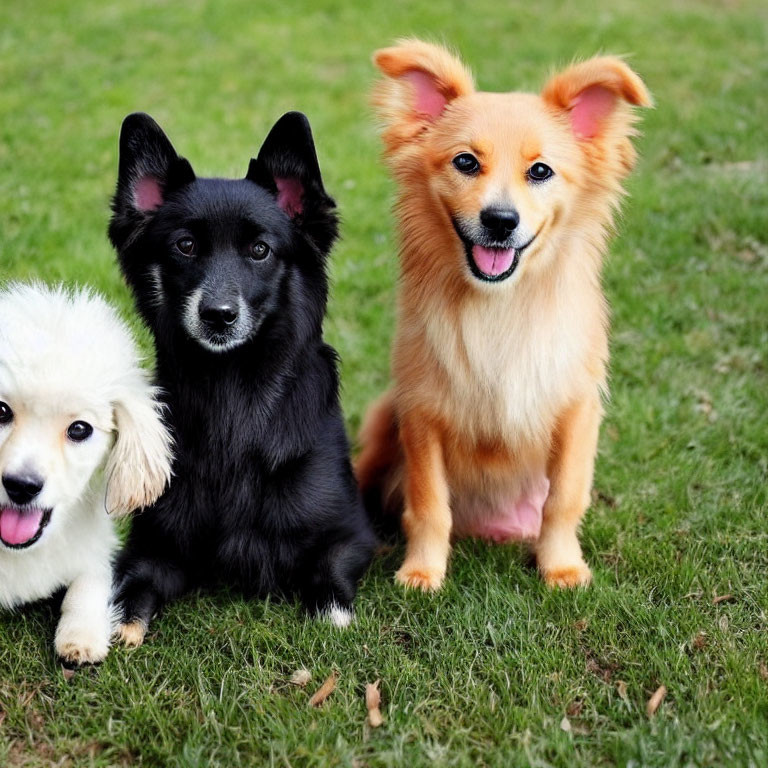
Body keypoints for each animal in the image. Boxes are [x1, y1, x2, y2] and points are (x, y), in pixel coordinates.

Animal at [0, 284, 171, 664]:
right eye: (0, 411)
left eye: (79, 429)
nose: (21, 486)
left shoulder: (96, 547)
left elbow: (89, 584)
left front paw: (81, 636)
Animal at [106, 109, 376, 640]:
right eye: (185, 246)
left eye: (260, 250)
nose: (218, 316)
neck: (232, 387)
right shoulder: (154, 543)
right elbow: (129, 584)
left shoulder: (353, 532)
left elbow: (328, 565)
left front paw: (331, 610)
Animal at [356, 40, 652, 592]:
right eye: (466, 162)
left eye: (540, 171)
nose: (499, 220)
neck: (500, 306)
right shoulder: (421, 415)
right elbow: (428, 504)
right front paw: (423, 571)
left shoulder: (577, 411)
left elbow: (563, 500)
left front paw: (561, 566)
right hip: (384, 417)